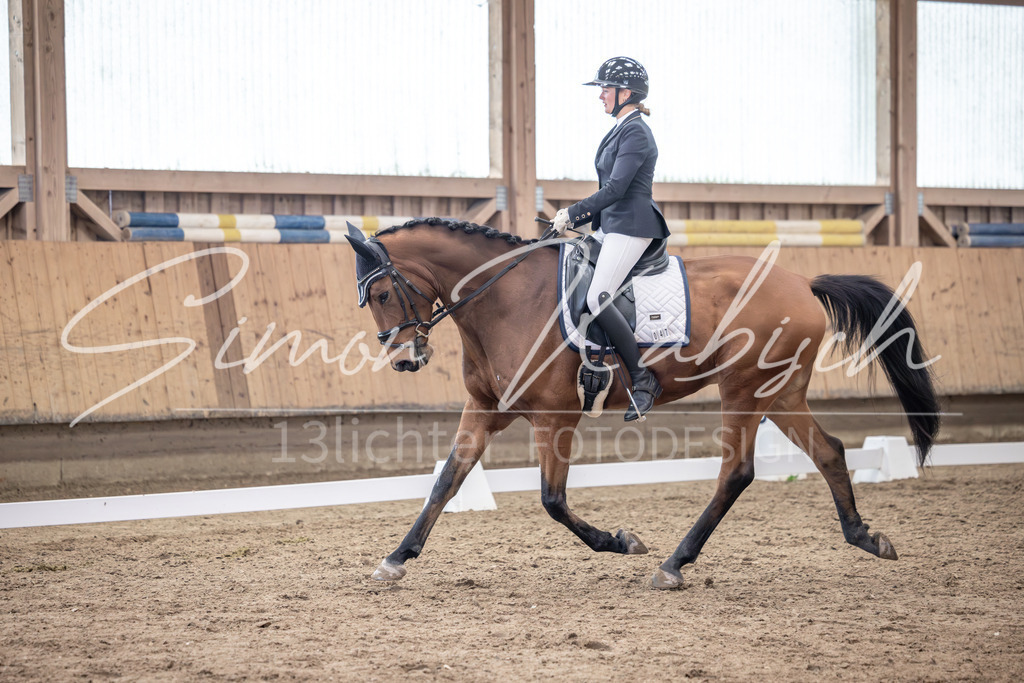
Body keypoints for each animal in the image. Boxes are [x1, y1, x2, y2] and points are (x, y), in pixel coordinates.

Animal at [344, 217, 940, 589]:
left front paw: (621, 541)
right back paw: (865, 537)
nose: (404, 360)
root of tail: (802, 281)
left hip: (745, 388)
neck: (506, 299)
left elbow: (552, 500)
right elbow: (446, 481)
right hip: (781, 390)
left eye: (382, 294)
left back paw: (674, 565)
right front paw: (396, 559)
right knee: (830, 451)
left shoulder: (555, 416)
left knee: (738, 471)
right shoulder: (486, 409)